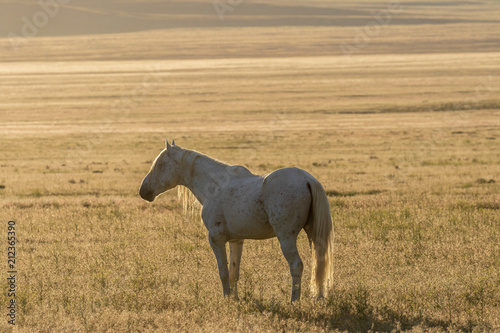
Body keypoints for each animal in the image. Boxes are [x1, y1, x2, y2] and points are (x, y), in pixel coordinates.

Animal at [139, 139, 334, 302]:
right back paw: (319, 298)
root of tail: (307, 179)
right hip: (313, 235)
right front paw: (235, 298)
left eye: (161, 164)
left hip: (286, 238)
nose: (143, 191)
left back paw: (294, 301)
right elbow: (234, 271)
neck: (216, 186)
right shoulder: (236, 240)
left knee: (296, 265)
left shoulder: (216, 239)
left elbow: (223, 271)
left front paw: (226, 298)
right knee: (319, 262)